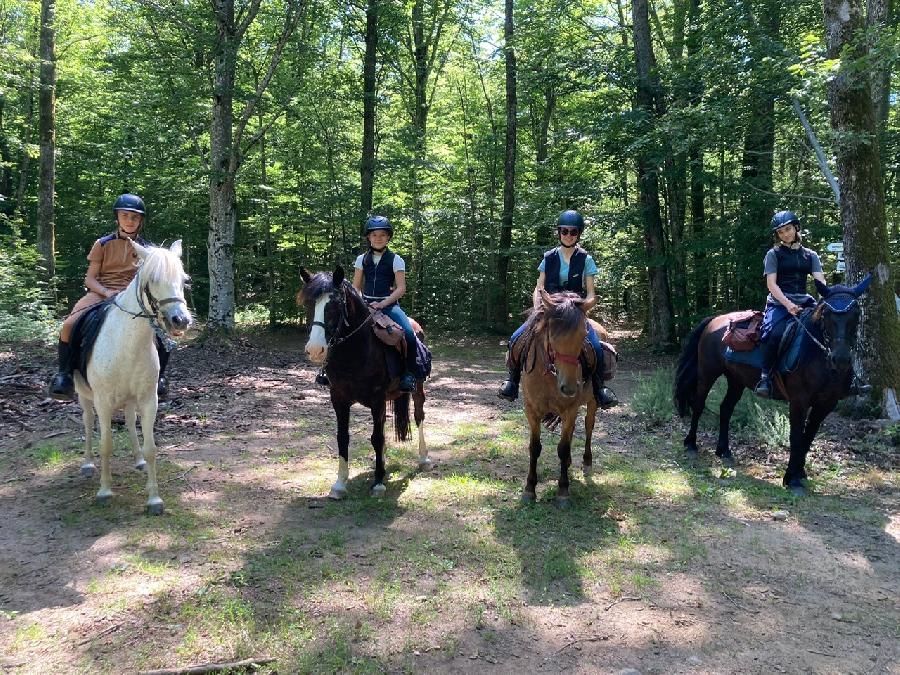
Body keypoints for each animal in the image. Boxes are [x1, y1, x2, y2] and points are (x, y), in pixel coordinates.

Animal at [73, 240, 192, 516]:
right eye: (153, 279)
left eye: (183, 279)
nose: (180, 320)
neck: (126, 343)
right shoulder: (103, 401)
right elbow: (106, 445)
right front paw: (105, 491)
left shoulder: (149, 400)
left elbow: (151, 448)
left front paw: (154, 499)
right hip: (84, 396)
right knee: (87, 423)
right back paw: (87, 464)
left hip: (129, 399)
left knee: (128, 421)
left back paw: (137, 460)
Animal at [298, 266, 428, 500]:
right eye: (308, 304)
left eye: (335, 305)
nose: (315, 350)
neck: (356, 351)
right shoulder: (339, 398)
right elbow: (343, 438)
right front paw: (340, 484)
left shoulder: (376, 399)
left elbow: (376, 438)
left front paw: (378, 483)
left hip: (417, 387)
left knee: (419, 415)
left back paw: (424, 459)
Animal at [516, 290, 600, 508]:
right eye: (552, 336)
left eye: (584, 335)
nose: (569, 388)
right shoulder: (531, 411)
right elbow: (534, 447)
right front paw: (529, 489)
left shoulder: (570, 409)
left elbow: (562, 448)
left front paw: (563, 490)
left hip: (592, 402)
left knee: (588, 426)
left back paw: (586, 462)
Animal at [676, 276, 872, 496]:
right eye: (827, 315)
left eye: (856, 314)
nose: (841, 359)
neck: (818, 355)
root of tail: (715, 320)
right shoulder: (799, 401)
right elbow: (796, 437)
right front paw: (791, 479)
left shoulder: (826, 404)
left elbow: (808, 437)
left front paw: (800, 473)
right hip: (708, 373)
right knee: (699, 404)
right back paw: (691, 444)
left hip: (736, 380)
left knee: (725, 409)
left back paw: (724, 451)